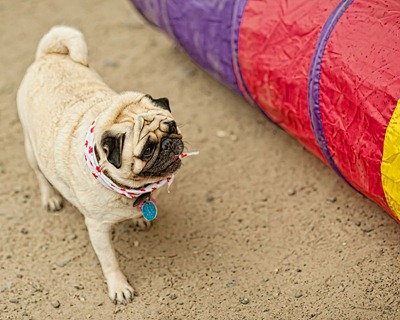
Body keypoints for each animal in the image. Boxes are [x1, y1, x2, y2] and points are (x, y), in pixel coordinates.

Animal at [15, 26, 184, 304]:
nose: (170, 143)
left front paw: (139, 219)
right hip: (31, 148)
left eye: (172, 127)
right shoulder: (97, 228)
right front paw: (119, 287)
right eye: (148, 150)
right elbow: (110, 262)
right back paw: (50, 198)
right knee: (41, 176)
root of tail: (49, 54)